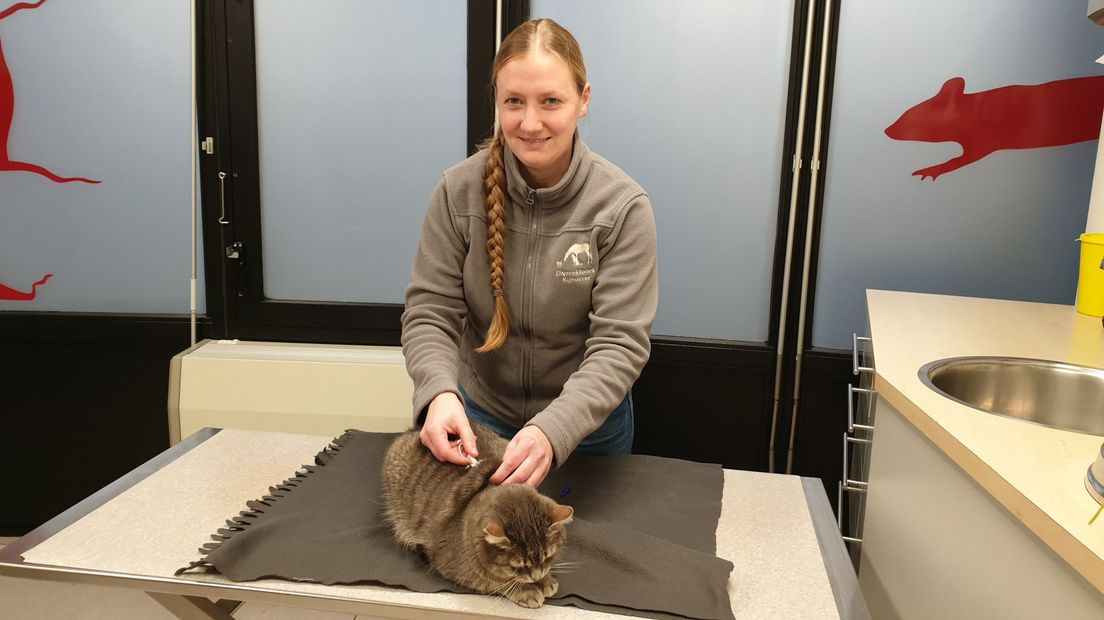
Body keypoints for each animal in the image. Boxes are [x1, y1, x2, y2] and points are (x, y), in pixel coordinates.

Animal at [381, 421, 574, 604]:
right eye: (516, 566)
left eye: (548, 557)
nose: (535, 577)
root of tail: (414, 430)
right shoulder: (454, 567)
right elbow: (498, 582)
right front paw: (526, 590)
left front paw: (545, 579)